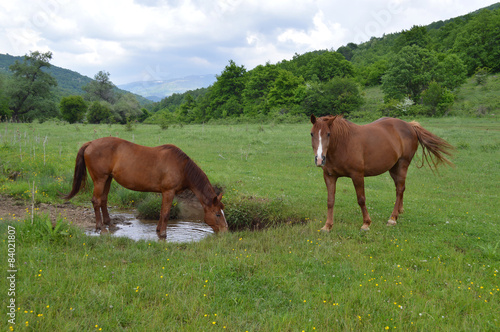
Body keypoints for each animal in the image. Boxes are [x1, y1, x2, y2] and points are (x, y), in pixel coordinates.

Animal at [63, 136, 229, 237]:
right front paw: (163, 234)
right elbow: (166, 213)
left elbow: (162, 212)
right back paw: (101, 228)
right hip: (100, 179)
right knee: (96, 201)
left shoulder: (164, 193)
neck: (182, 167)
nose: (225, 231)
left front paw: (158, 230)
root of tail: (90, 143)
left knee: (103, 200)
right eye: (217, 214)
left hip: (108, 179)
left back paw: (109, 223)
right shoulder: (169, 192)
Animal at [308, 115, 454, 232]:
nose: (319, 159)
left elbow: (361, 199)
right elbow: (330, 201)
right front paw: (327, 226)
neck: (343, 144)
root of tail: (409, 126)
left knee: (399, 189)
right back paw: (399, 211)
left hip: (402, 164)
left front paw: (366, 223)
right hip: (393, 168)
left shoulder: (357, 175)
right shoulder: (329, 176)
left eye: (328, 134)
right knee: (400, 188)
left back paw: (392, 218)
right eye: (312, 134)